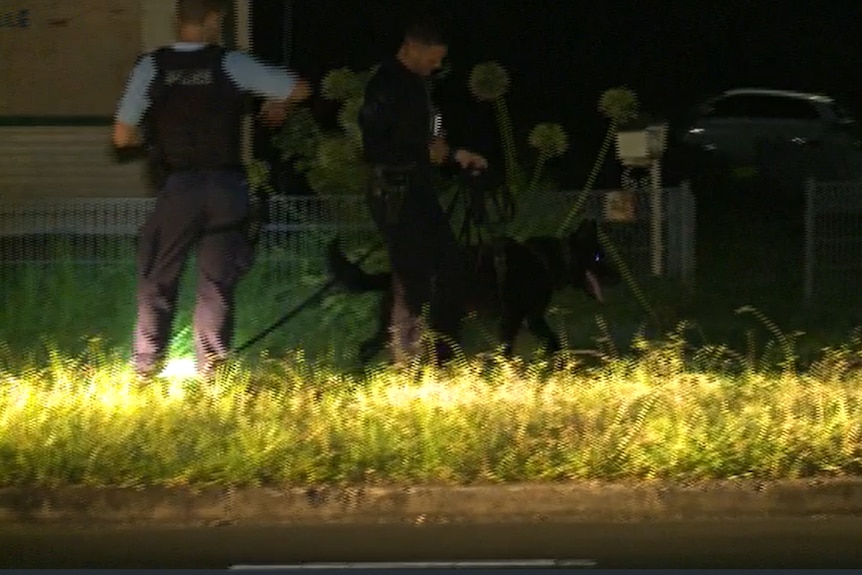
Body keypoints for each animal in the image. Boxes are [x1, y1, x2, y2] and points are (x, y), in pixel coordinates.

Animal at [326, 218, 620, 362]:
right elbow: (507, 349)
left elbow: (554, 342)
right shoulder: (513, 318)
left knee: (367, 347)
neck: (546, 261)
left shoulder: (532, 318)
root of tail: (392, 276)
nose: (618, 276)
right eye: (598, 257)